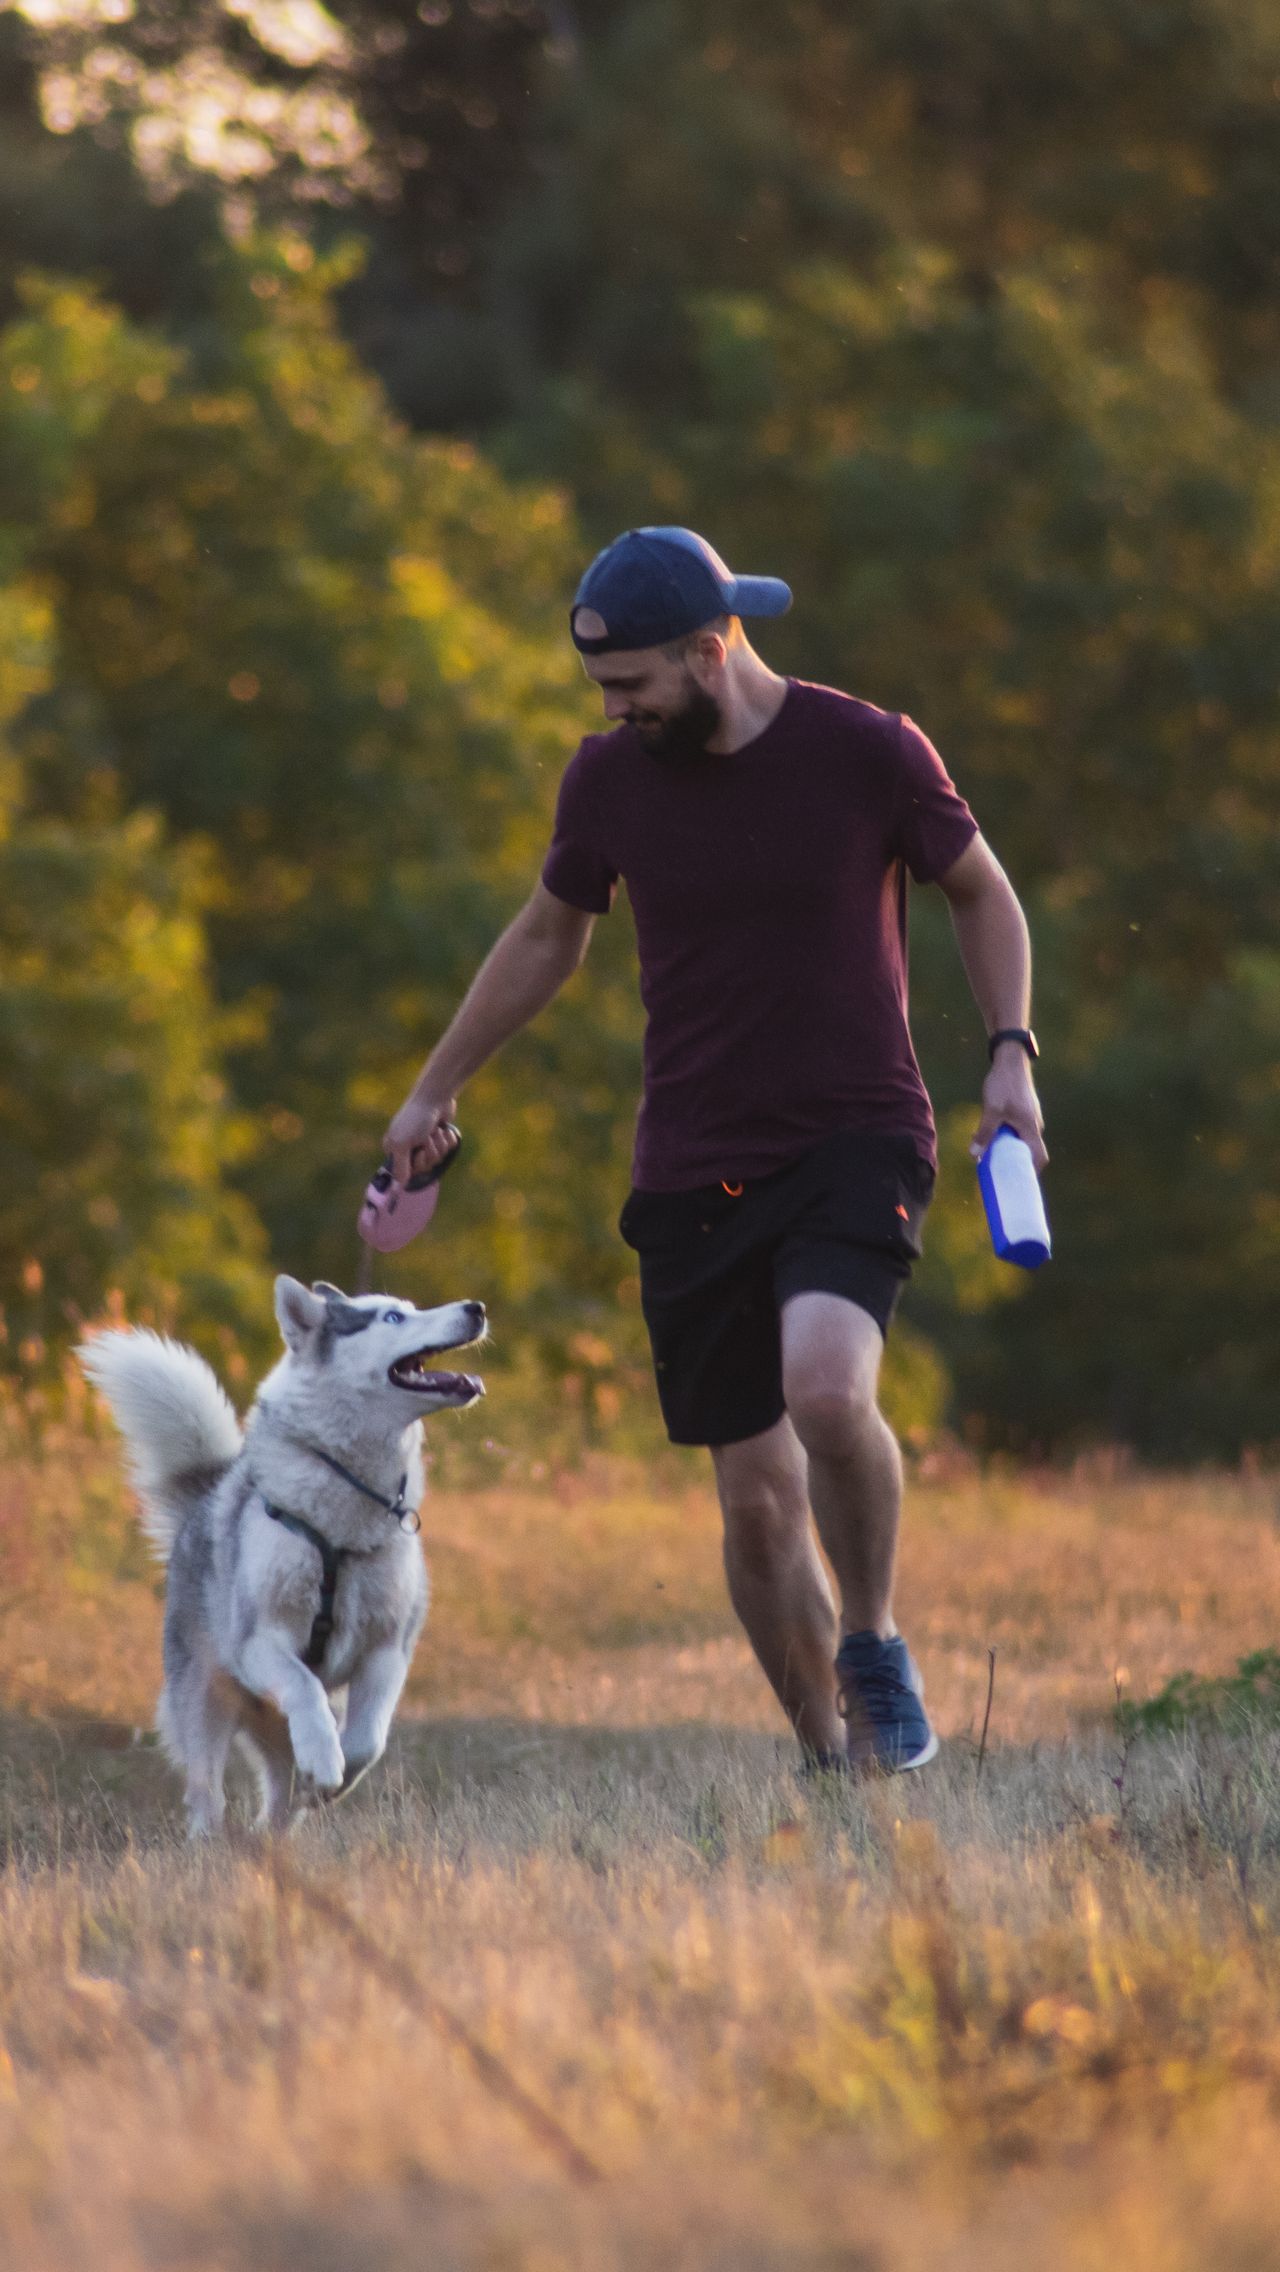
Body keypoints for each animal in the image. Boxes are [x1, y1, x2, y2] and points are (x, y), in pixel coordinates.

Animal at [77, 1272, 486, 1835]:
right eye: (392, 1317)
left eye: (409, 1307)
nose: (477, 1308)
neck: (343, 1520)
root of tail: (207, 1497)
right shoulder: (260, 1643)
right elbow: (305, 1687)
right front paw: (323, 1757)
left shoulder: (388, 1650)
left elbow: (367, 1740)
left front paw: (331, 1774)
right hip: (204, 1700)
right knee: (206, 1791)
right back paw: (210, 1841)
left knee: (277, 1799)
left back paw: (278, 1827)